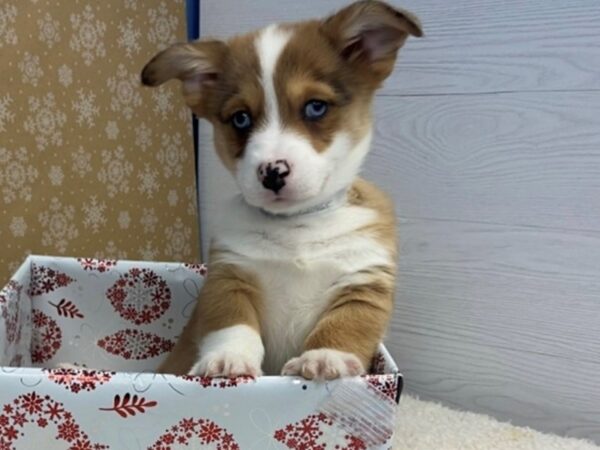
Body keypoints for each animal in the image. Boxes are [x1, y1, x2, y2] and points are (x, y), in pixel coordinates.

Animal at [141, 0, 422, 380]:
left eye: (315, 106)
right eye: (241, 118)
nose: (272, 173)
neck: (297, 226)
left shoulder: (363, 282)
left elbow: (343, 326)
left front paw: (324, 358)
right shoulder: (229, 277)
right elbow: (234, 325)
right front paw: (227, 359)